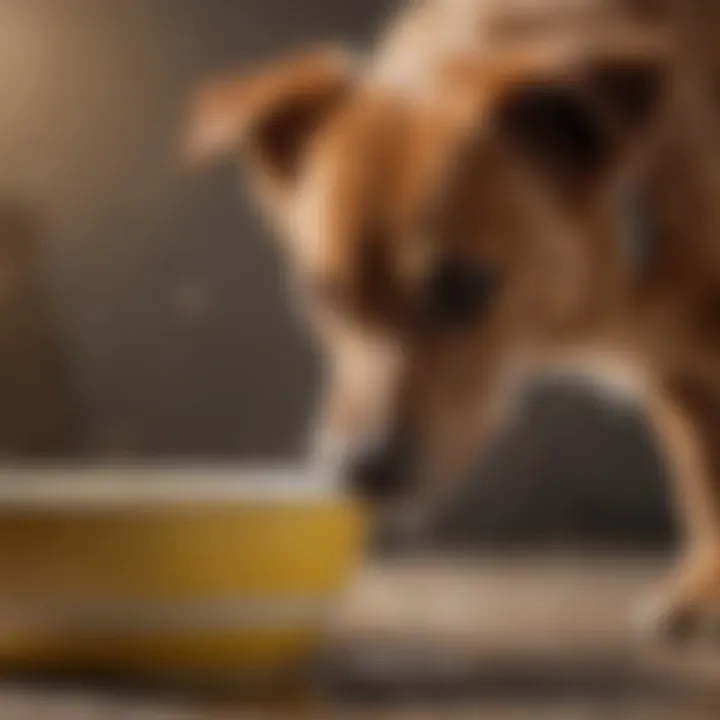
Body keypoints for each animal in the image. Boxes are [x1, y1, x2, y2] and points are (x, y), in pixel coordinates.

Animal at [184, 0, 720, 636]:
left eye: (466, 286)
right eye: (323, 295)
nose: (361, 470)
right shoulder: (680, 381)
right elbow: (703, 484)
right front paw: (705, 590)